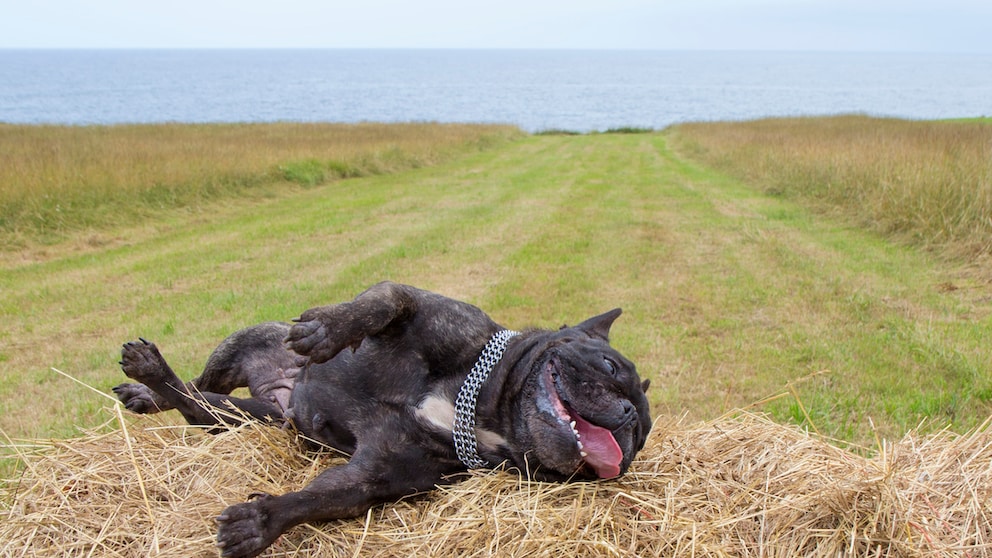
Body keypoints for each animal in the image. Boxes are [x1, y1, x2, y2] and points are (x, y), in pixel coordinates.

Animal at [114, 284, 652, 558]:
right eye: (610, 367)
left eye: (639, 440)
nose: (627, 416)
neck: (475, 410)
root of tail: (280, 397)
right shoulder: (422, 307)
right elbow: (385, 298)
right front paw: (329, 329)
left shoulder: (371, 477)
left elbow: (317, 499)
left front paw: (259, 523)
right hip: (237, 347)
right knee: (198, 382)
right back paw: (147, 382)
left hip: (242, 421)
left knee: (195, 407)